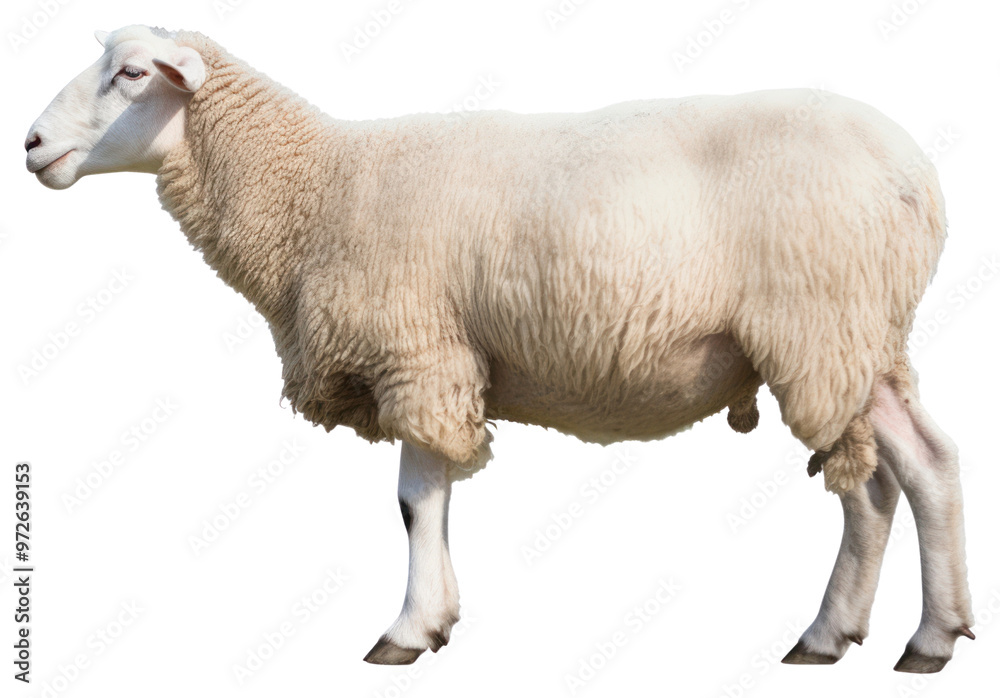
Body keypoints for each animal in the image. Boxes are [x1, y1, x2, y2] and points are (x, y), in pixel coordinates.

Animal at [24, 24, 974, 672]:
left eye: (132, 74)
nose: (31, 144)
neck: (315, 190)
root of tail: (919, 178)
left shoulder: (416, 349)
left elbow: (413, 502)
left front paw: (407, 630)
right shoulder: (436, 358)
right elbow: (434, 499)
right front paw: (437, 620)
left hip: (827, 329)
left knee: (904, 474)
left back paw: (909, 638)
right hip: (866, 342)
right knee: (890, 479)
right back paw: (853, 635)